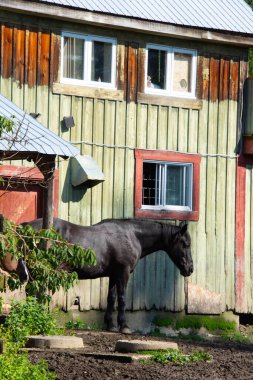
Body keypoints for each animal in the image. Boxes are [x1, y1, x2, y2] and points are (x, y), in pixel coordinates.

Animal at [24, 217, 194, 332]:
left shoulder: (113, 275)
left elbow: (111, 298)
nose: (190, 269)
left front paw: (110, 325)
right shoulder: (123, 272)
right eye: (185, 244)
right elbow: (122, 298)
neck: (132, 235)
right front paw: (123, 325)